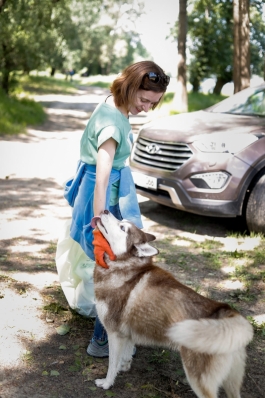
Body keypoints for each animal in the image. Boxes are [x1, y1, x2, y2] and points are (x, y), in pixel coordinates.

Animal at [93, 210, 252, 396]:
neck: (124, 266)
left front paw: (107, 383)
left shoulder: (114, 333)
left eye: (122, 227)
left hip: (197, 379)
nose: (105, 210)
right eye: (122, 220)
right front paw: (124, 367)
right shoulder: (127, 333)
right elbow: (124, 357)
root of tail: (227, 311)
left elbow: (112, 364)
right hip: (232, 383)